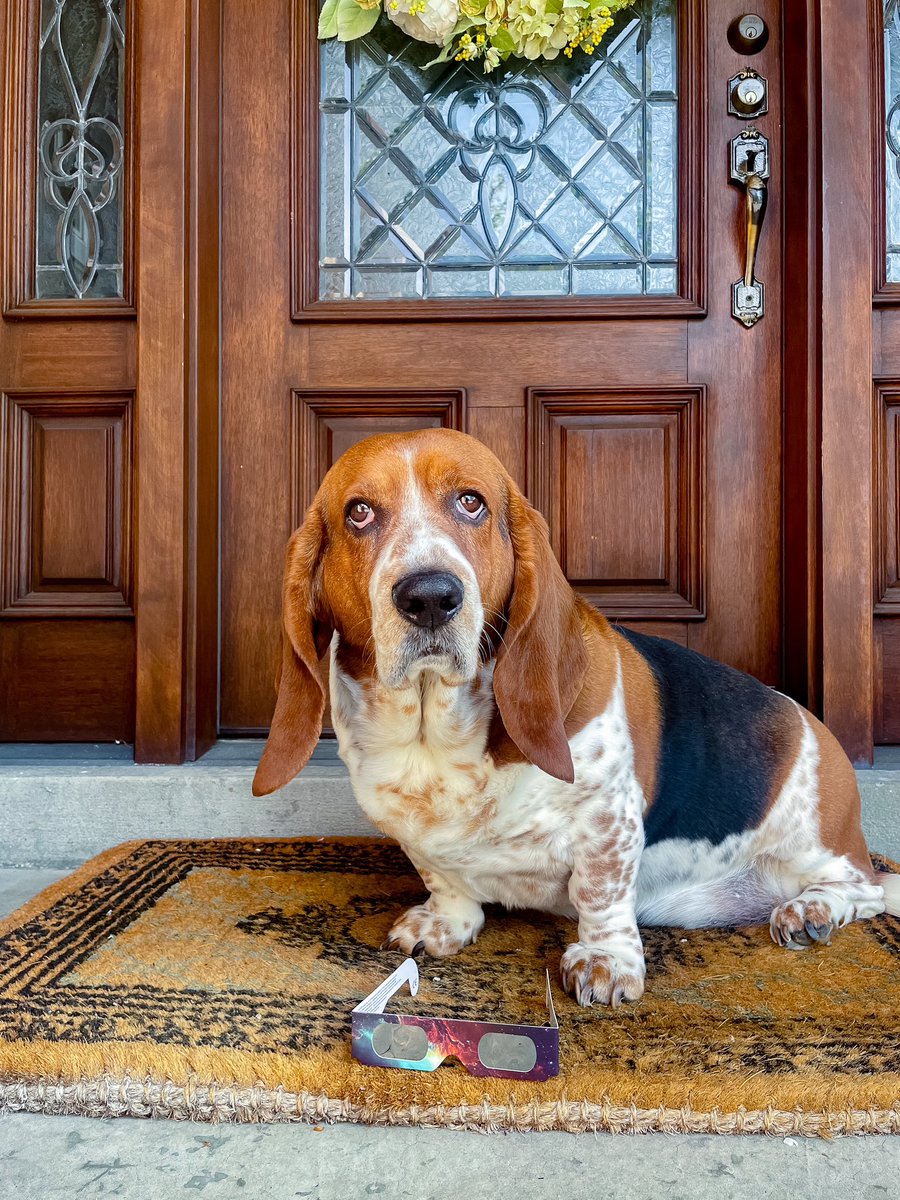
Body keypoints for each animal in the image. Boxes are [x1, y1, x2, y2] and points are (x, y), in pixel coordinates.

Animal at [254, 427, 900, 1008]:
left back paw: (811, 911)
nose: (430, 597)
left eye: (471, 502)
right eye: (358, 513)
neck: (434, 734)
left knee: (865, 887)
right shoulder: (410, 829)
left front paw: (605, 961)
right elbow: (443, 876)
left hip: (814, 844)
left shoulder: (608, 816)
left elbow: (600, 891)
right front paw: (445, 923)